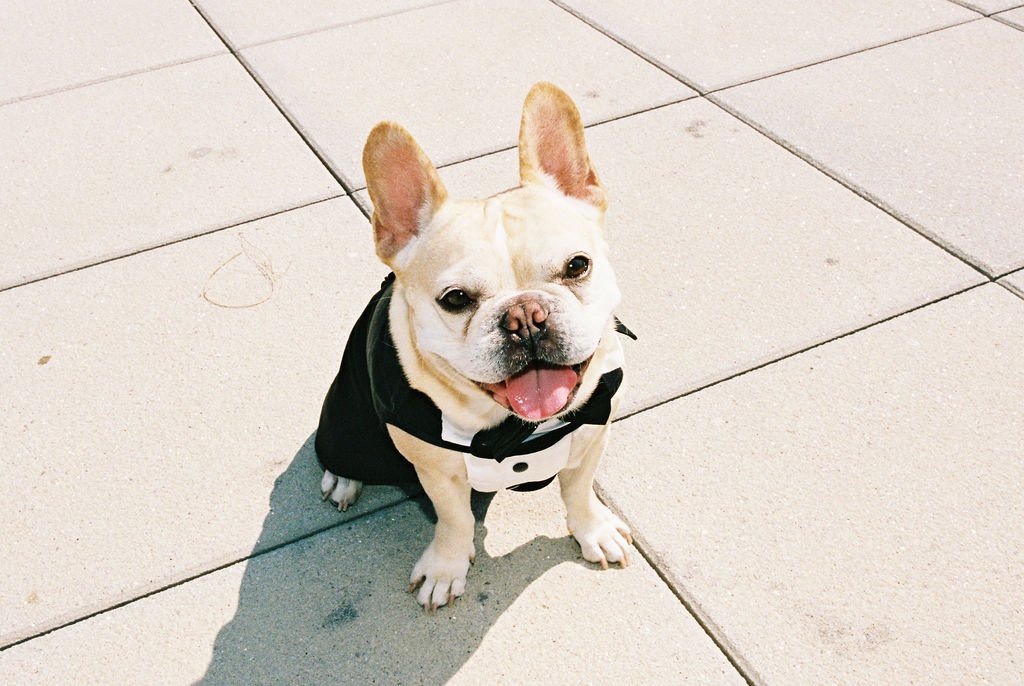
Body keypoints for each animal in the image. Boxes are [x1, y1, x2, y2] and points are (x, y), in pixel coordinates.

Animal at [313, 81, 630, 614]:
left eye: (577, 266)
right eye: (456, 299)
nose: (525, 317)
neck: (514, 429)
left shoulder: (592, 432)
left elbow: (579, 492)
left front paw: (593, 530)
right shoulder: (438, 472)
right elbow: (455, 518)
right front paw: (447, 567)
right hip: (347, 426)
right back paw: (343, 478)